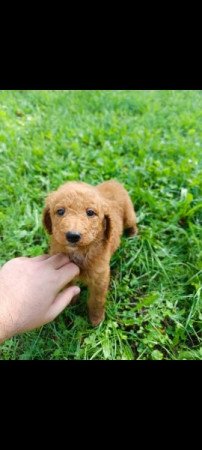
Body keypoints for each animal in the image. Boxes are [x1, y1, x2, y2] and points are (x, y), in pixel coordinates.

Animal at [42, 180, 137, 326]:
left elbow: (96, 301)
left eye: (90, 212)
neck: (80, 251)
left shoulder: (100, 278)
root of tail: (113, 181)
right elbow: (68, 285)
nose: (73, 236)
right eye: (60, 211)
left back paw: (133, 233)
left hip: (129, 214)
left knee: (133, 222)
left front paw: (96, 320)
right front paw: (72, 301)